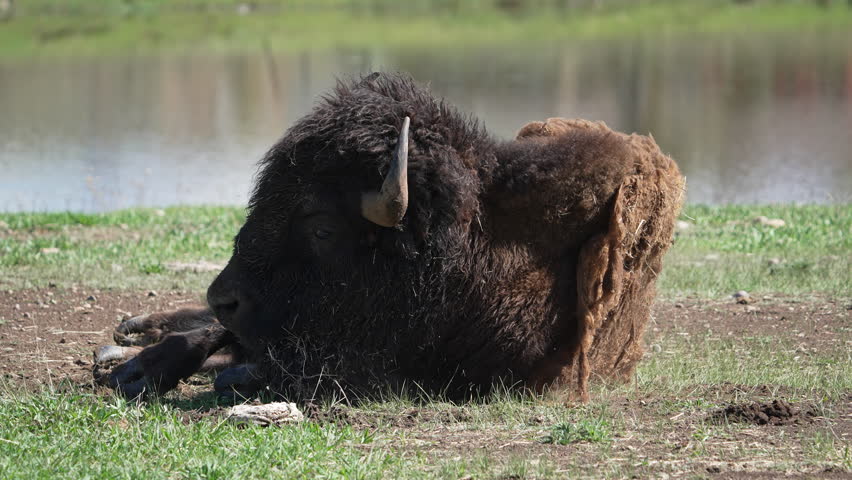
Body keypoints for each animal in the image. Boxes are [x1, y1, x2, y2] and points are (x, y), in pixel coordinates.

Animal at [94, 72, 684, 402]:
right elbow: (214, 341)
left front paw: (224, 375)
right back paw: (129, 339)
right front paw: (137, 371)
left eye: (322, 226)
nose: (225, 297)